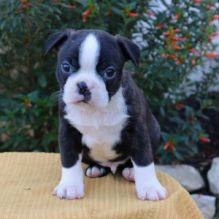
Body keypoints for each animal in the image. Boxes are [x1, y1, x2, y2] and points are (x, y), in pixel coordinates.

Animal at [45, 28, 167, 200]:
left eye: (109, 72)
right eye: (66, 67)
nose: (83, 85)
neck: (95, 110)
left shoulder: (137, 131)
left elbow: (144, 159)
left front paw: (150, 188)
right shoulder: (68, 131)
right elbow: (69, 161)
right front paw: (70, 186)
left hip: (154, 130)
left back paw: (130, 171)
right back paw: (96, 168)